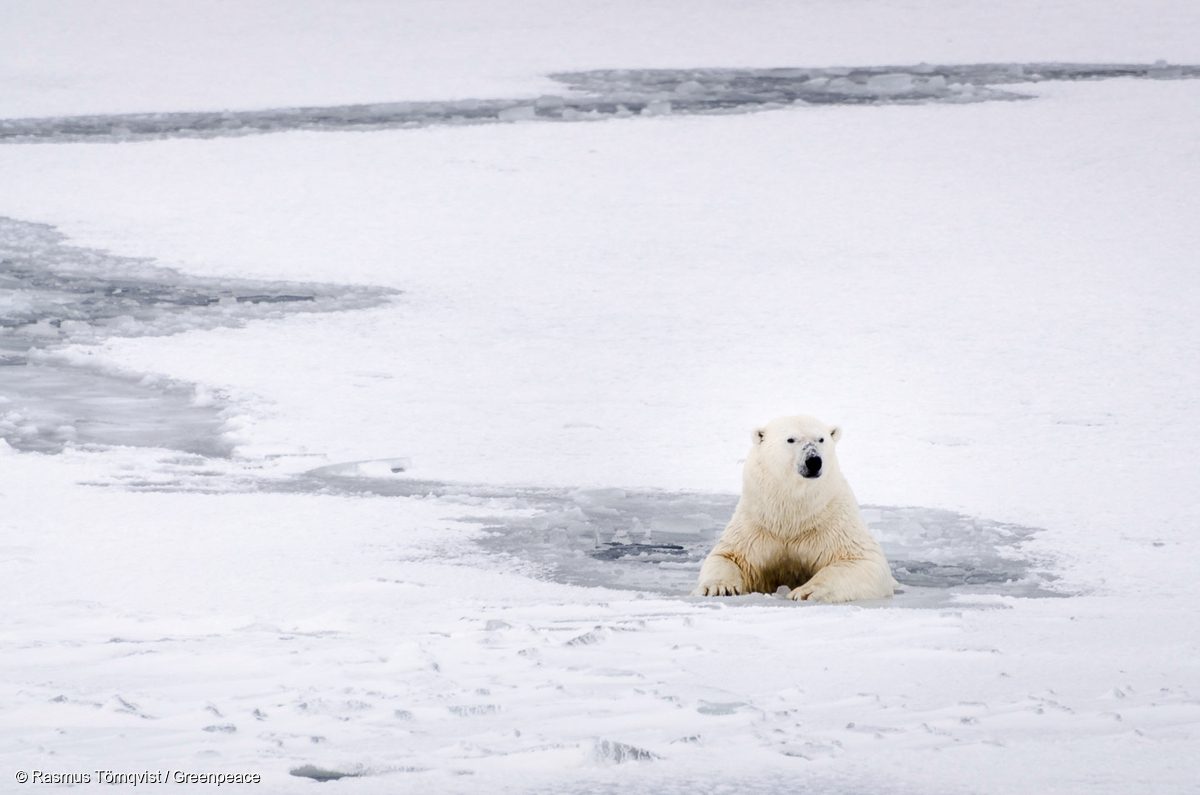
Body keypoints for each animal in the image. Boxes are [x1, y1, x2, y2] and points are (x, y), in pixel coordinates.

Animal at [693, 415, 895, 603]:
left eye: (821, 439)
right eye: (791, 439)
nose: (814, 461)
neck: (793, 515)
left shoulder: (834, 523)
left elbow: (863, 561)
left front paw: (806, 591)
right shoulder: (755, 524)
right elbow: (728, 556)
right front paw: (719, 587)